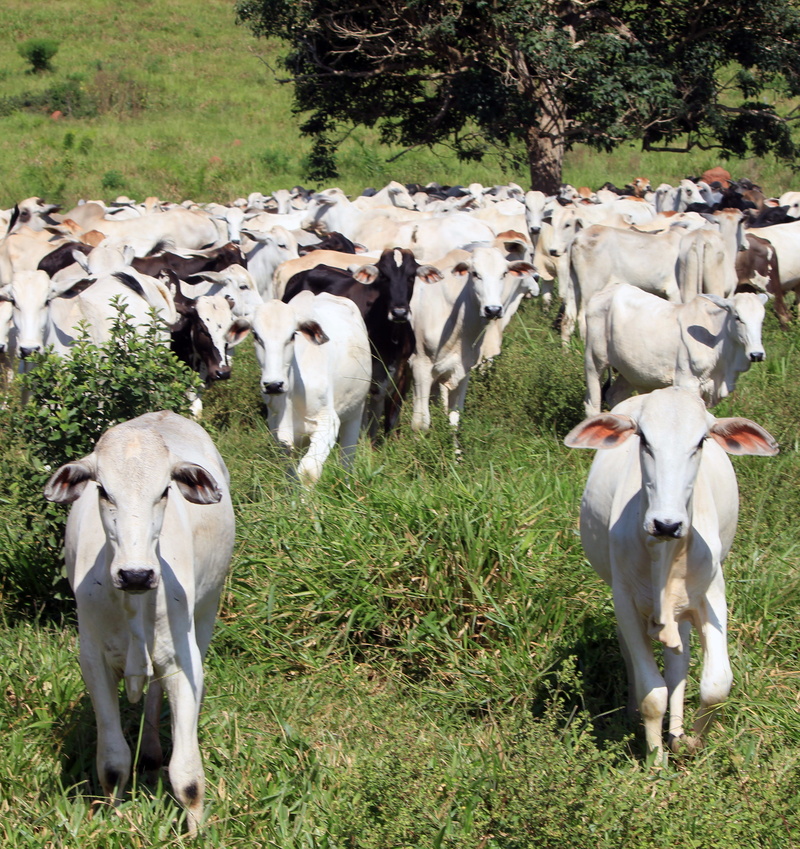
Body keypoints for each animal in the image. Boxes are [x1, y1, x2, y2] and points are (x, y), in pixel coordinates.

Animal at [43, 411, 235, 835]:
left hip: (206, 613)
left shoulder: (183, 660)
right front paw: (114, 819)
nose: (136, 574)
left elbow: (187, 775)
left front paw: (195, 833)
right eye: (103, 491)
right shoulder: (92, 661)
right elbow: (113, 762)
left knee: (156, 694)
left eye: (164, 491)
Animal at [250, 291, 372, 486]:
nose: (274, 384)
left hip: (355, 413)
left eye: (292, 335)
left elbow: (308, 472)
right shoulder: (278, 431)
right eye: (256, 336)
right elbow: (290, 474)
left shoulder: (328, 422)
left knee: (347, 459)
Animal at [565, 388, 778, 760]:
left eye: (701, 441)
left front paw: (691, 741)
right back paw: (635, 714)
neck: (664, 553)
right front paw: (656, 760)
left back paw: (677, 731)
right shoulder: (625, 599)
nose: (666, 524)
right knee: (633, 655)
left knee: (679, 662)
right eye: (644, 439)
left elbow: (716, 684)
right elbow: (652, 693)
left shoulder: (712, 593)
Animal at [583, 284, 767, 417]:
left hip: (629, 370)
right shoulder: (687, 382)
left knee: (615, 396)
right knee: (592, 406)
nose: (756, 354)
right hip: (594, 361)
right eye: (737, 317)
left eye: (761, 319)